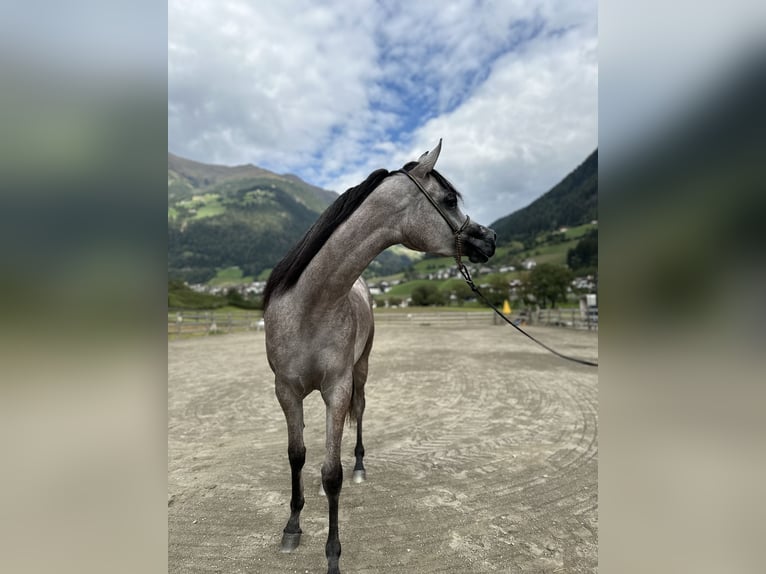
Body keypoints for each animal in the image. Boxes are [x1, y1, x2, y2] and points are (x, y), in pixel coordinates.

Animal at [262, 141, 498, 574]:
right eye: (449, 199)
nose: (490, 238)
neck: (309, 308)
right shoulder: (285, 391)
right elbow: (297, 456)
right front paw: (292, 527)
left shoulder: (337, 389)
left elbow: (332, 474)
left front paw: (333, 556)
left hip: (361, 370)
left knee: (359, 415)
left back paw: (358, 466)